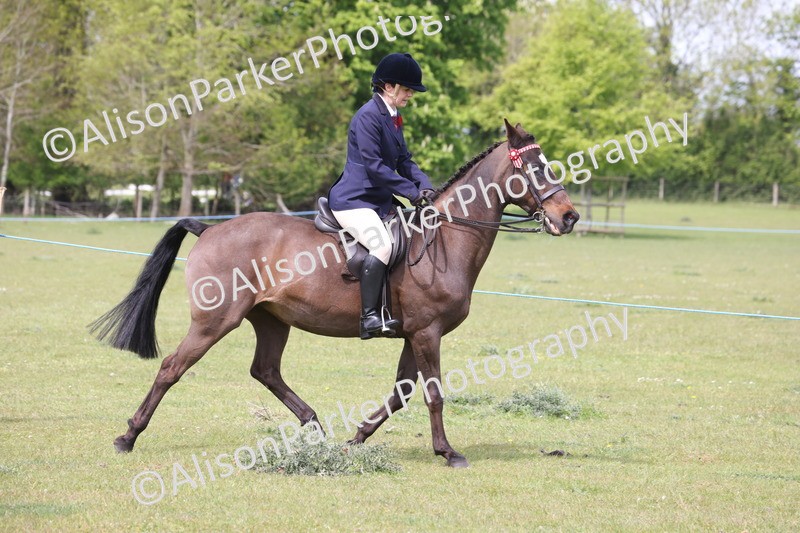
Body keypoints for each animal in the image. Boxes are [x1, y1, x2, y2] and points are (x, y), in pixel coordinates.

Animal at [91, 119, 579, 468]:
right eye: (534, 168)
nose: (569, 217)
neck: (445, 238)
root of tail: (209, 229)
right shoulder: (427, 332)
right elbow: (434, 393)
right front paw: (449, 453)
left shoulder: (413, 333)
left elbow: (402, 392)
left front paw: (358, 437)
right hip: (214, 321)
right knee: (172, 368)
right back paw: (127, 436)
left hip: (271, 319)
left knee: (265, 370)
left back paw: (314, 426)